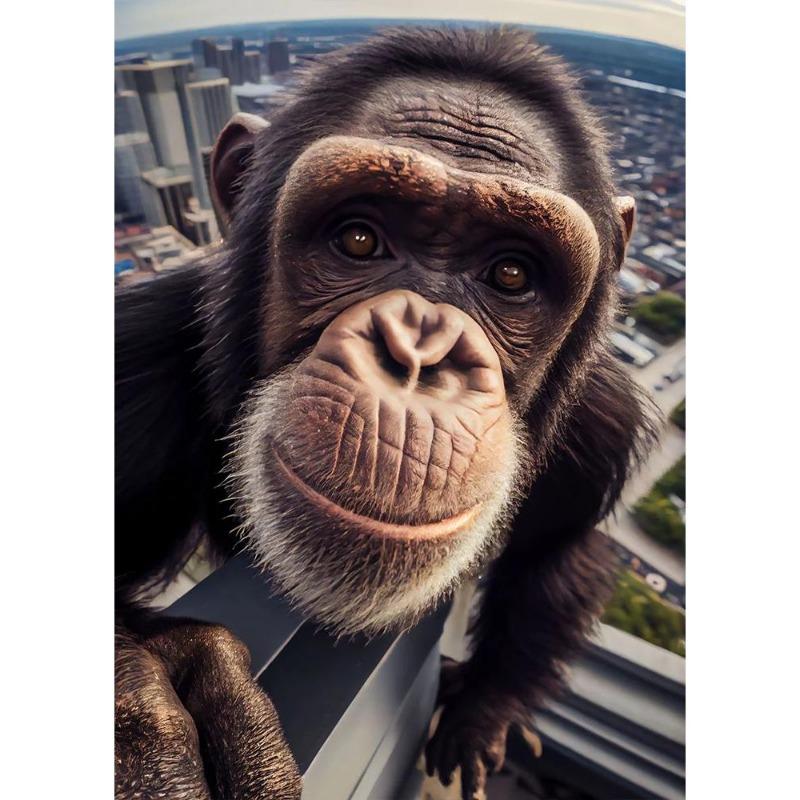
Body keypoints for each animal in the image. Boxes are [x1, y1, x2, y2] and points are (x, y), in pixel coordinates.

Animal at [115, 26, 658, 800]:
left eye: (510, 274)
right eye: (359, 239)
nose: (418, 354)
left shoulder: (601, 425)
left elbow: (557, 551)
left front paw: (481, 711)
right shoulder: (139, 360)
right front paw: (165, 688)